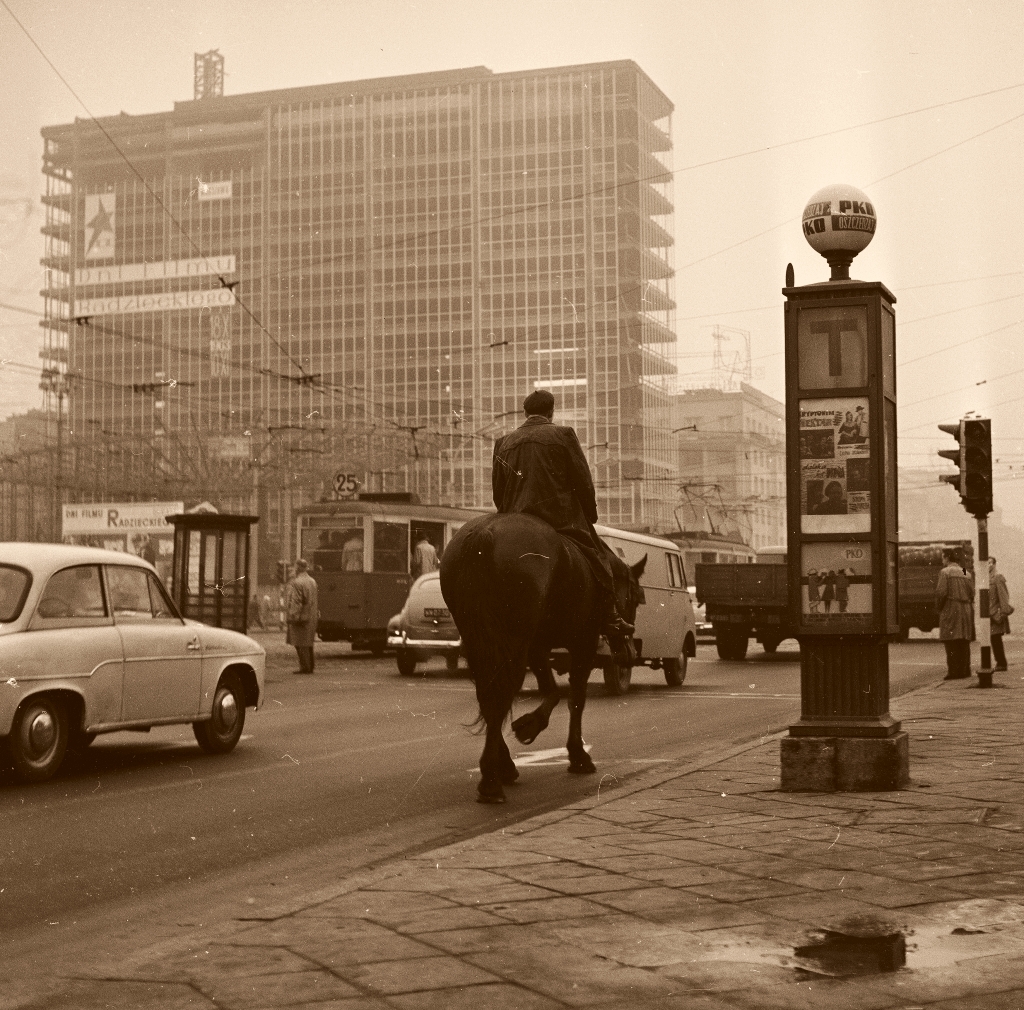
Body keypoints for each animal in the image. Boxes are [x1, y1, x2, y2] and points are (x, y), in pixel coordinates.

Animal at [436, 512, 643, 803]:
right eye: (635, 598)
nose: (630, 653)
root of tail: (484, 534)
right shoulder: (583, 643)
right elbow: (575, 699)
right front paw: (576, 754)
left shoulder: (536, 645)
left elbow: (552, 691)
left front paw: (530, 725)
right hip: (513, 640)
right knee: (500, 694)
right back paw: (491, 781)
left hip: (480, 640)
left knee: (489, 695)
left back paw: (502, 767)